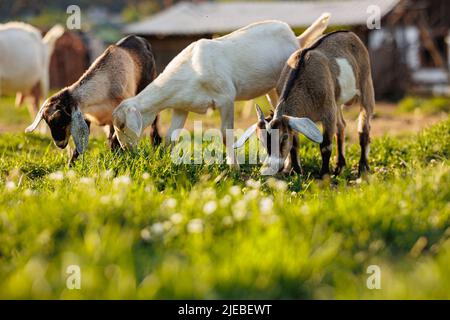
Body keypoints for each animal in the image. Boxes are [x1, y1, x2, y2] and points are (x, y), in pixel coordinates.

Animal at [25, 35, 162, 165]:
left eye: (63, 121)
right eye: (48, 123)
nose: (60, 144)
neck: (106, 84)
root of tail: (140, 39)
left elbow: (115, 139)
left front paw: (116, 160)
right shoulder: (87, 116)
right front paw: (70, 166)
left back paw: (155, 143)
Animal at [111, 13, 330, 166]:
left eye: (121, 125)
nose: (125, 150)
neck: (191, 69)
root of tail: (297, 39)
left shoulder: (226, 98)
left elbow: (226, 135)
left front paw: (233, 167)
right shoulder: (181, 106)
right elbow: (170, 136)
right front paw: (165, 162)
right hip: (271, 89)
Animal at [236, 30, 376, 178]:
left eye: (284, 137)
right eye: (260, 140)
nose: (272, 167)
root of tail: (350, 33)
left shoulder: (328, 113)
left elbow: (325, 145)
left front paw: (323, 175)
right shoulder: (297, 118)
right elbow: (295, 144)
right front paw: (296, 171)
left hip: (366, 85)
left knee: (364, 129)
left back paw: (363, 168)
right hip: (336, 101)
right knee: (341, 126)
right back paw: (339, 166)